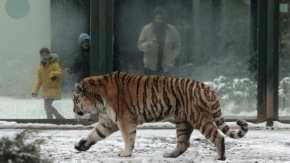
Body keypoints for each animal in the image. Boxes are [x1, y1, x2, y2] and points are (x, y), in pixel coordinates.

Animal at [72, 71, 247, 160]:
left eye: (75, 100)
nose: (73, 111)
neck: (98, 99)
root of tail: (208, 87)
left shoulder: (125, 120)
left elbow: (128, 138)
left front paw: (126, 153)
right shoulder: (108, 121)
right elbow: (95, 134)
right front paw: (80, 145)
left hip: (200, 118)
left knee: (218, 137)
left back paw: (220, 157)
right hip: (183, 121)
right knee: (184, 143)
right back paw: (170, 154)